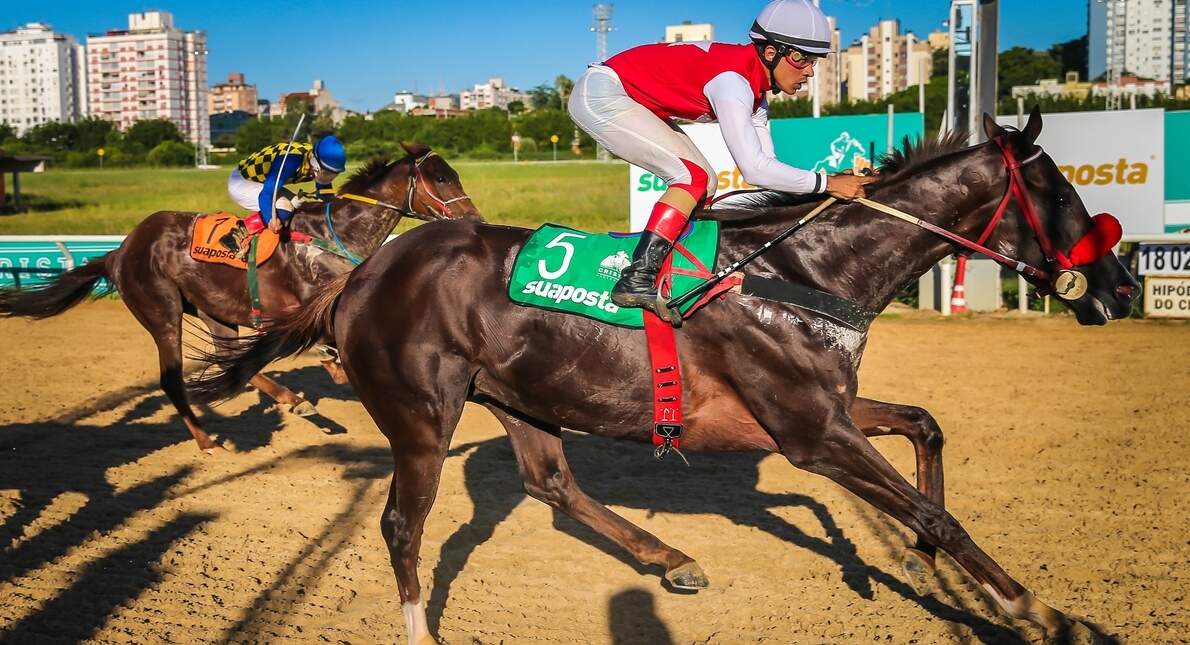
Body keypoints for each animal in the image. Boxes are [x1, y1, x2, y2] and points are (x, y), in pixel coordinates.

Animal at [1, 143, 473, 452]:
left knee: (232, 359)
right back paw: (209, 439)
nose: (473, 218)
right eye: (440, 177)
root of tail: (121, 249)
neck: (335, 235)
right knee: (175, 378)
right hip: (161, 310)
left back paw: (295, 403)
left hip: (217, 311)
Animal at [190, 113, 1137, 642]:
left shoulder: (822, 408)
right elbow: (934, 506)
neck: (802, 268)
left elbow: (926, 423)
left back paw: (672, 558)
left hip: (522, 395)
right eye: (1061, 196)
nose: (1123, 287)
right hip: (424, 414)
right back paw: (422, 630)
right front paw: (1032, 607)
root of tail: (359, 277)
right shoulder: (810, 432)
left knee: (552, 483)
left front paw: (918, 554)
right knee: (400, 523)